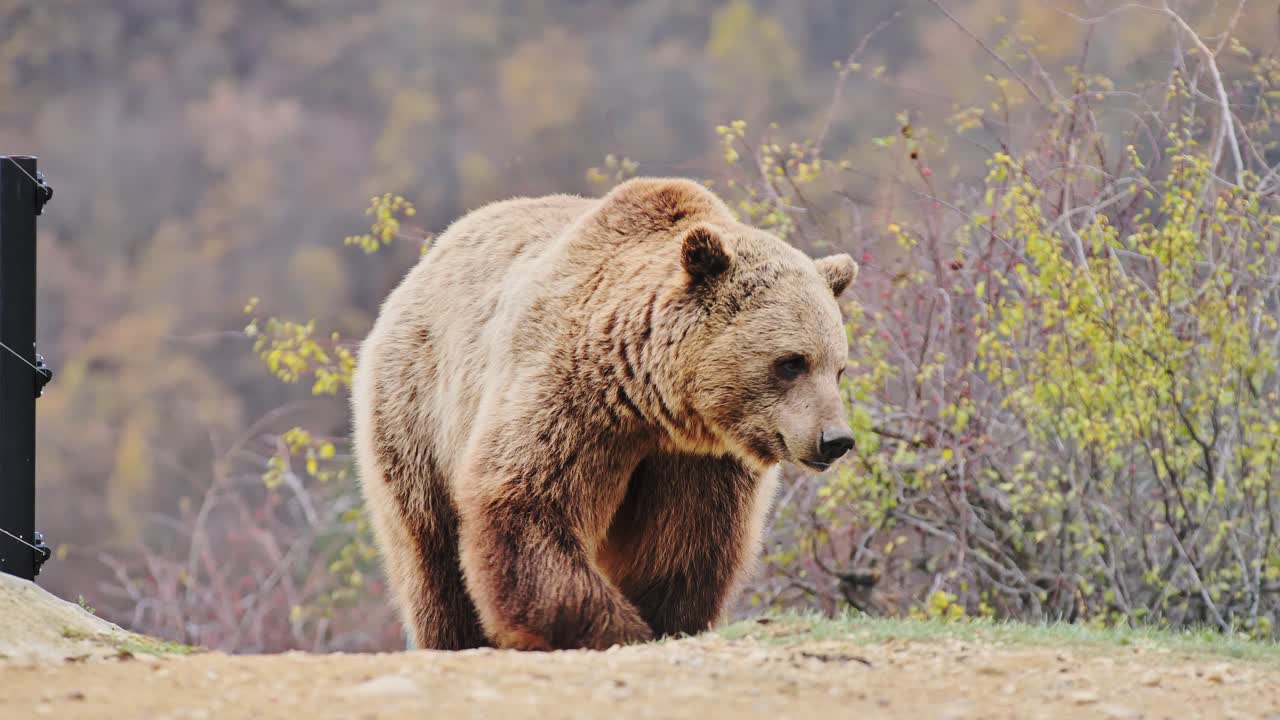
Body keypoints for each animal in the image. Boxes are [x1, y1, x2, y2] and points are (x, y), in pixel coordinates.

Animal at [350, 177, 857, 651]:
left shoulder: (697, 460)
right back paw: (453, 635)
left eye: (839, 367)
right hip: (417, 411)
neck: (650, 399)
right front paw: (618, 628)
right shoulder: (570, 399)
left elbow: (681, 546)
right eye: (791, 362)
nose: (836, 439)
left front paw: (662, 621)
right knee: (430, 548)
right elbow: (526, 503)